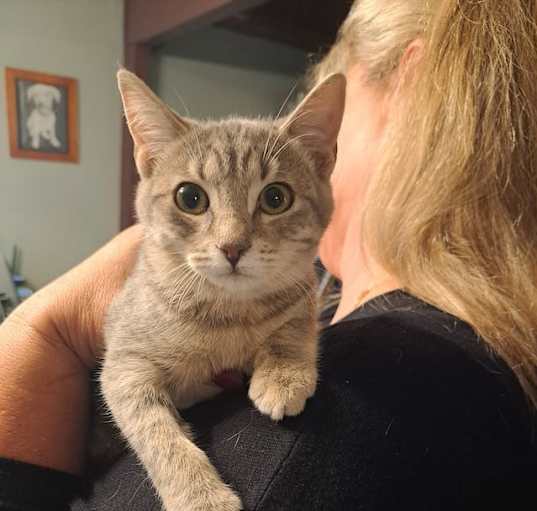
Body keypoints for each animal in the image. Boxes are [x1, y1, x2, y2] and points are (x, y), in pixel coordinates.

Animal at [99, 69, 344, 511]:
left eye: (276, 197)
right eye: (190, 197)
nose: (232, 247)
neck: (227, 315)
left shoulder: (301, 291)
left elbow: (295, 323)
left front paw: (284, 372)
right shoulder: (123, 363)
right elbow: (156, 432)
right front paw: (200, 495)